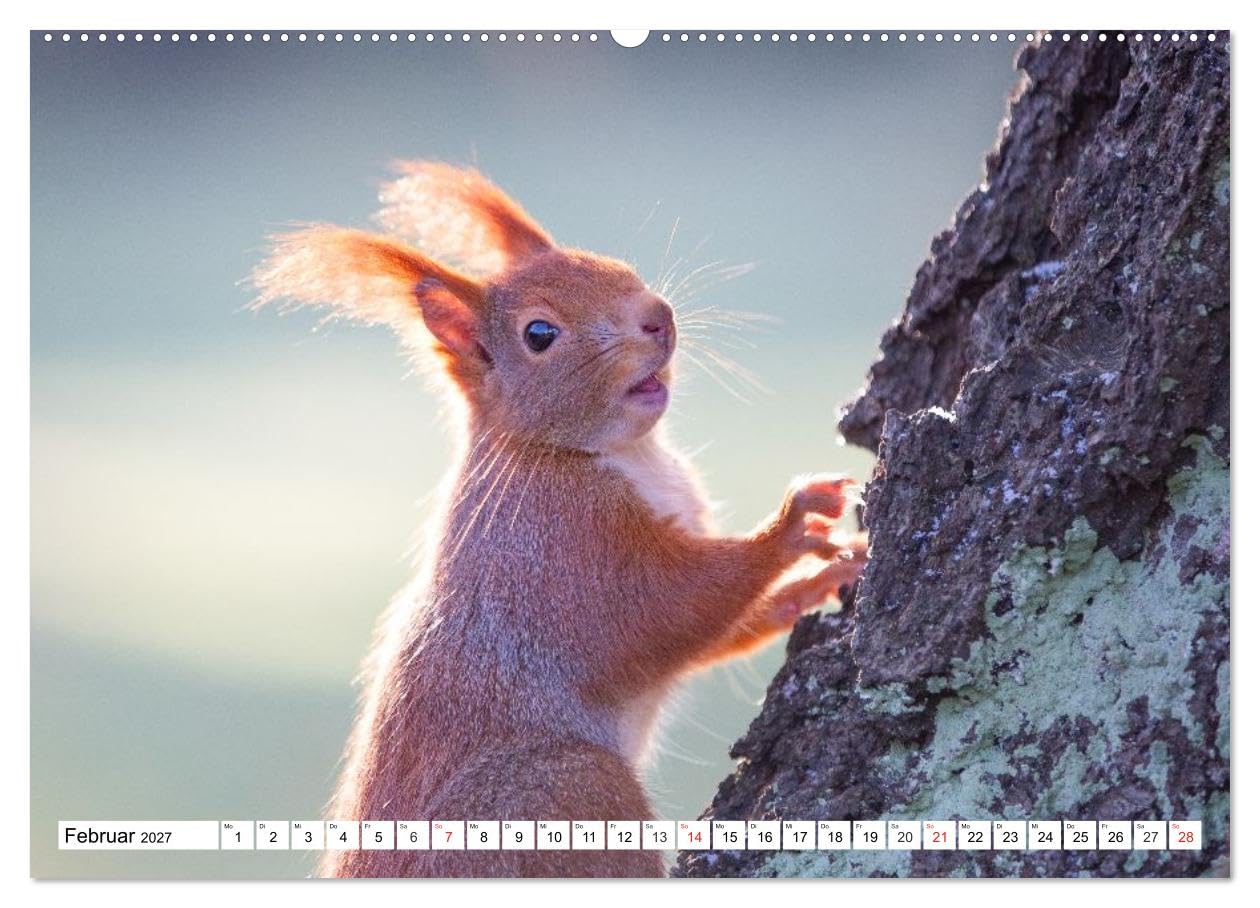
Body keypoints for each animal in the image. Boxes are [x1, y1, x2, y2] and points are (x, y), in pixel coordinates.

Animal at [253, 163, 868, 878]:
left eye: (616, 265)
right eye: (539, 335)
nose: (658, 317)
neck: (603, 453)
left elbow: (712, 632)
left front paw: (808, 590)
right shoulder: (568, 549)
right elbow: (677, 602)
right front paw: (793, 522)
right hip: (569, 794)